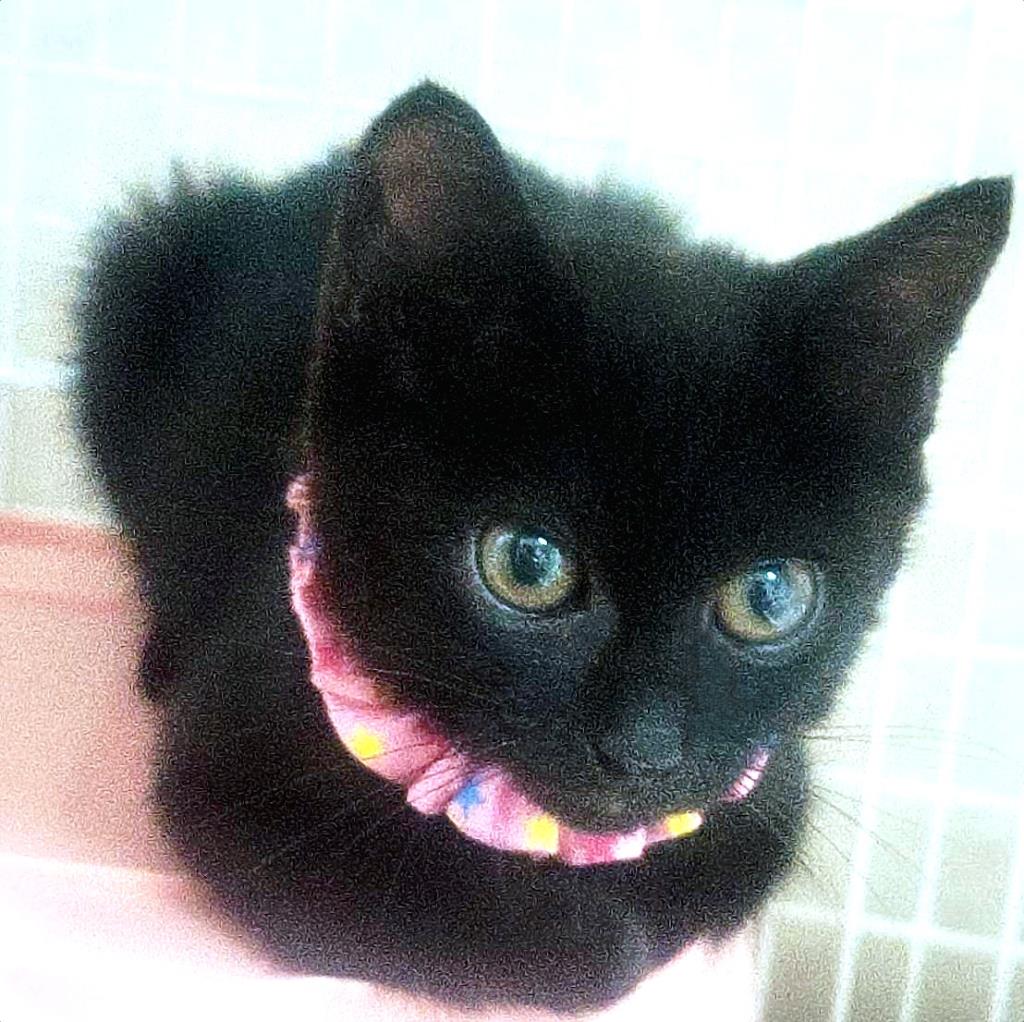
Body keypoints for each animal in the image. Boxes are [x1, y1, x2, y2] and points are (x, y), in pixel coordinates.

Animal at [74, 82, 1011, 1011]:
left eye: (769, 597)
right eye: (526, 564)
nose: (642, 750)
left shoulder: (768, 783)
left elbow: (732, 856)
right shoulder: (228, 773)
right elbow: (490, 929)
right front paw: (589, 933)